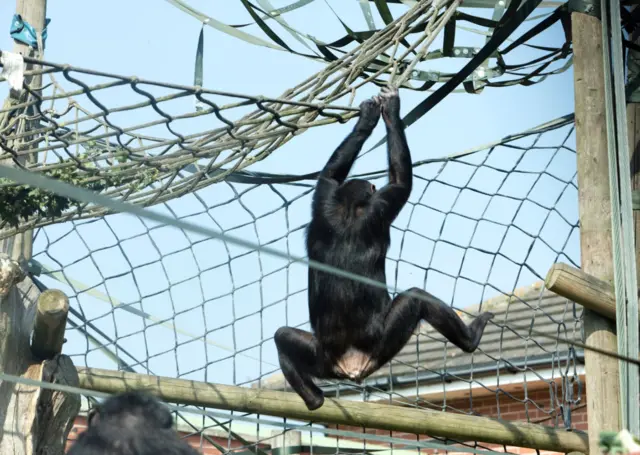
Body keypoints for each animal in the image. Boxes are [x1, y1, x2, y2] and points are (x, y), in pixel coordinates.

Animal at [274, 85, 496, 414]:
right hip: (381, 345)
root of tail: (351, 364)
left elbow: (329, 174)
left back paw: (313, 399)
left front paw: (367, 120)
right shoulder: (384, 204)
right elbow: (402, 181)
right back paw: (471, 338)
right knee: (416, 299)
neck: (349, 208)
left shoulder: (323, 199)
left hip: (321, 358)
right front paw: (391, 110)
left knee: (282, 336)